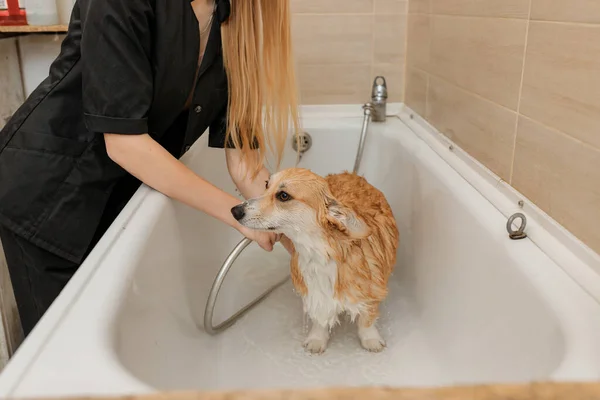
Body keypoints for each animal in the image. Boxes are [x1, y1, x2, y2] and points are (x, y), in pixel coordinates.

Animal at [232, 167, 400, 354]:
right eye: (266, 184)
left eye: (283, 195)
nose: (235, 210)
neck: (319, 252)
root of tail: (351, 173)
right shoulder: (314, 291)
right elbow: (320, 317)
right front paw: (317, 339)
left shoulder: (373, 289)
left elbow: (366, 319)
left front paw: (371, 339)